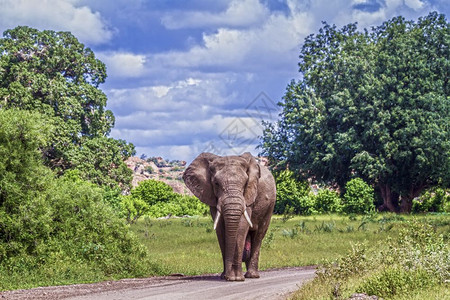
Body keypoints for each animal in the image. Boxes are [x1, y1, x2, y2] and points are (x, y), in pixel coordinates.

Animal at [182, 152, 274, 282]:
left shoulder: (249, 195)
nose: (227, 277)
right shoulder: (212, 197)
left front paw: (236, 278)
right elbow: (221, 228)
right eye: (216, 184)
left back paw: (252, 276)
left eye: (245, 184)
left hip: (270, 207)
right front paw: (225, 276)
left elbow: (242, 226)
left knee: (258, 235)